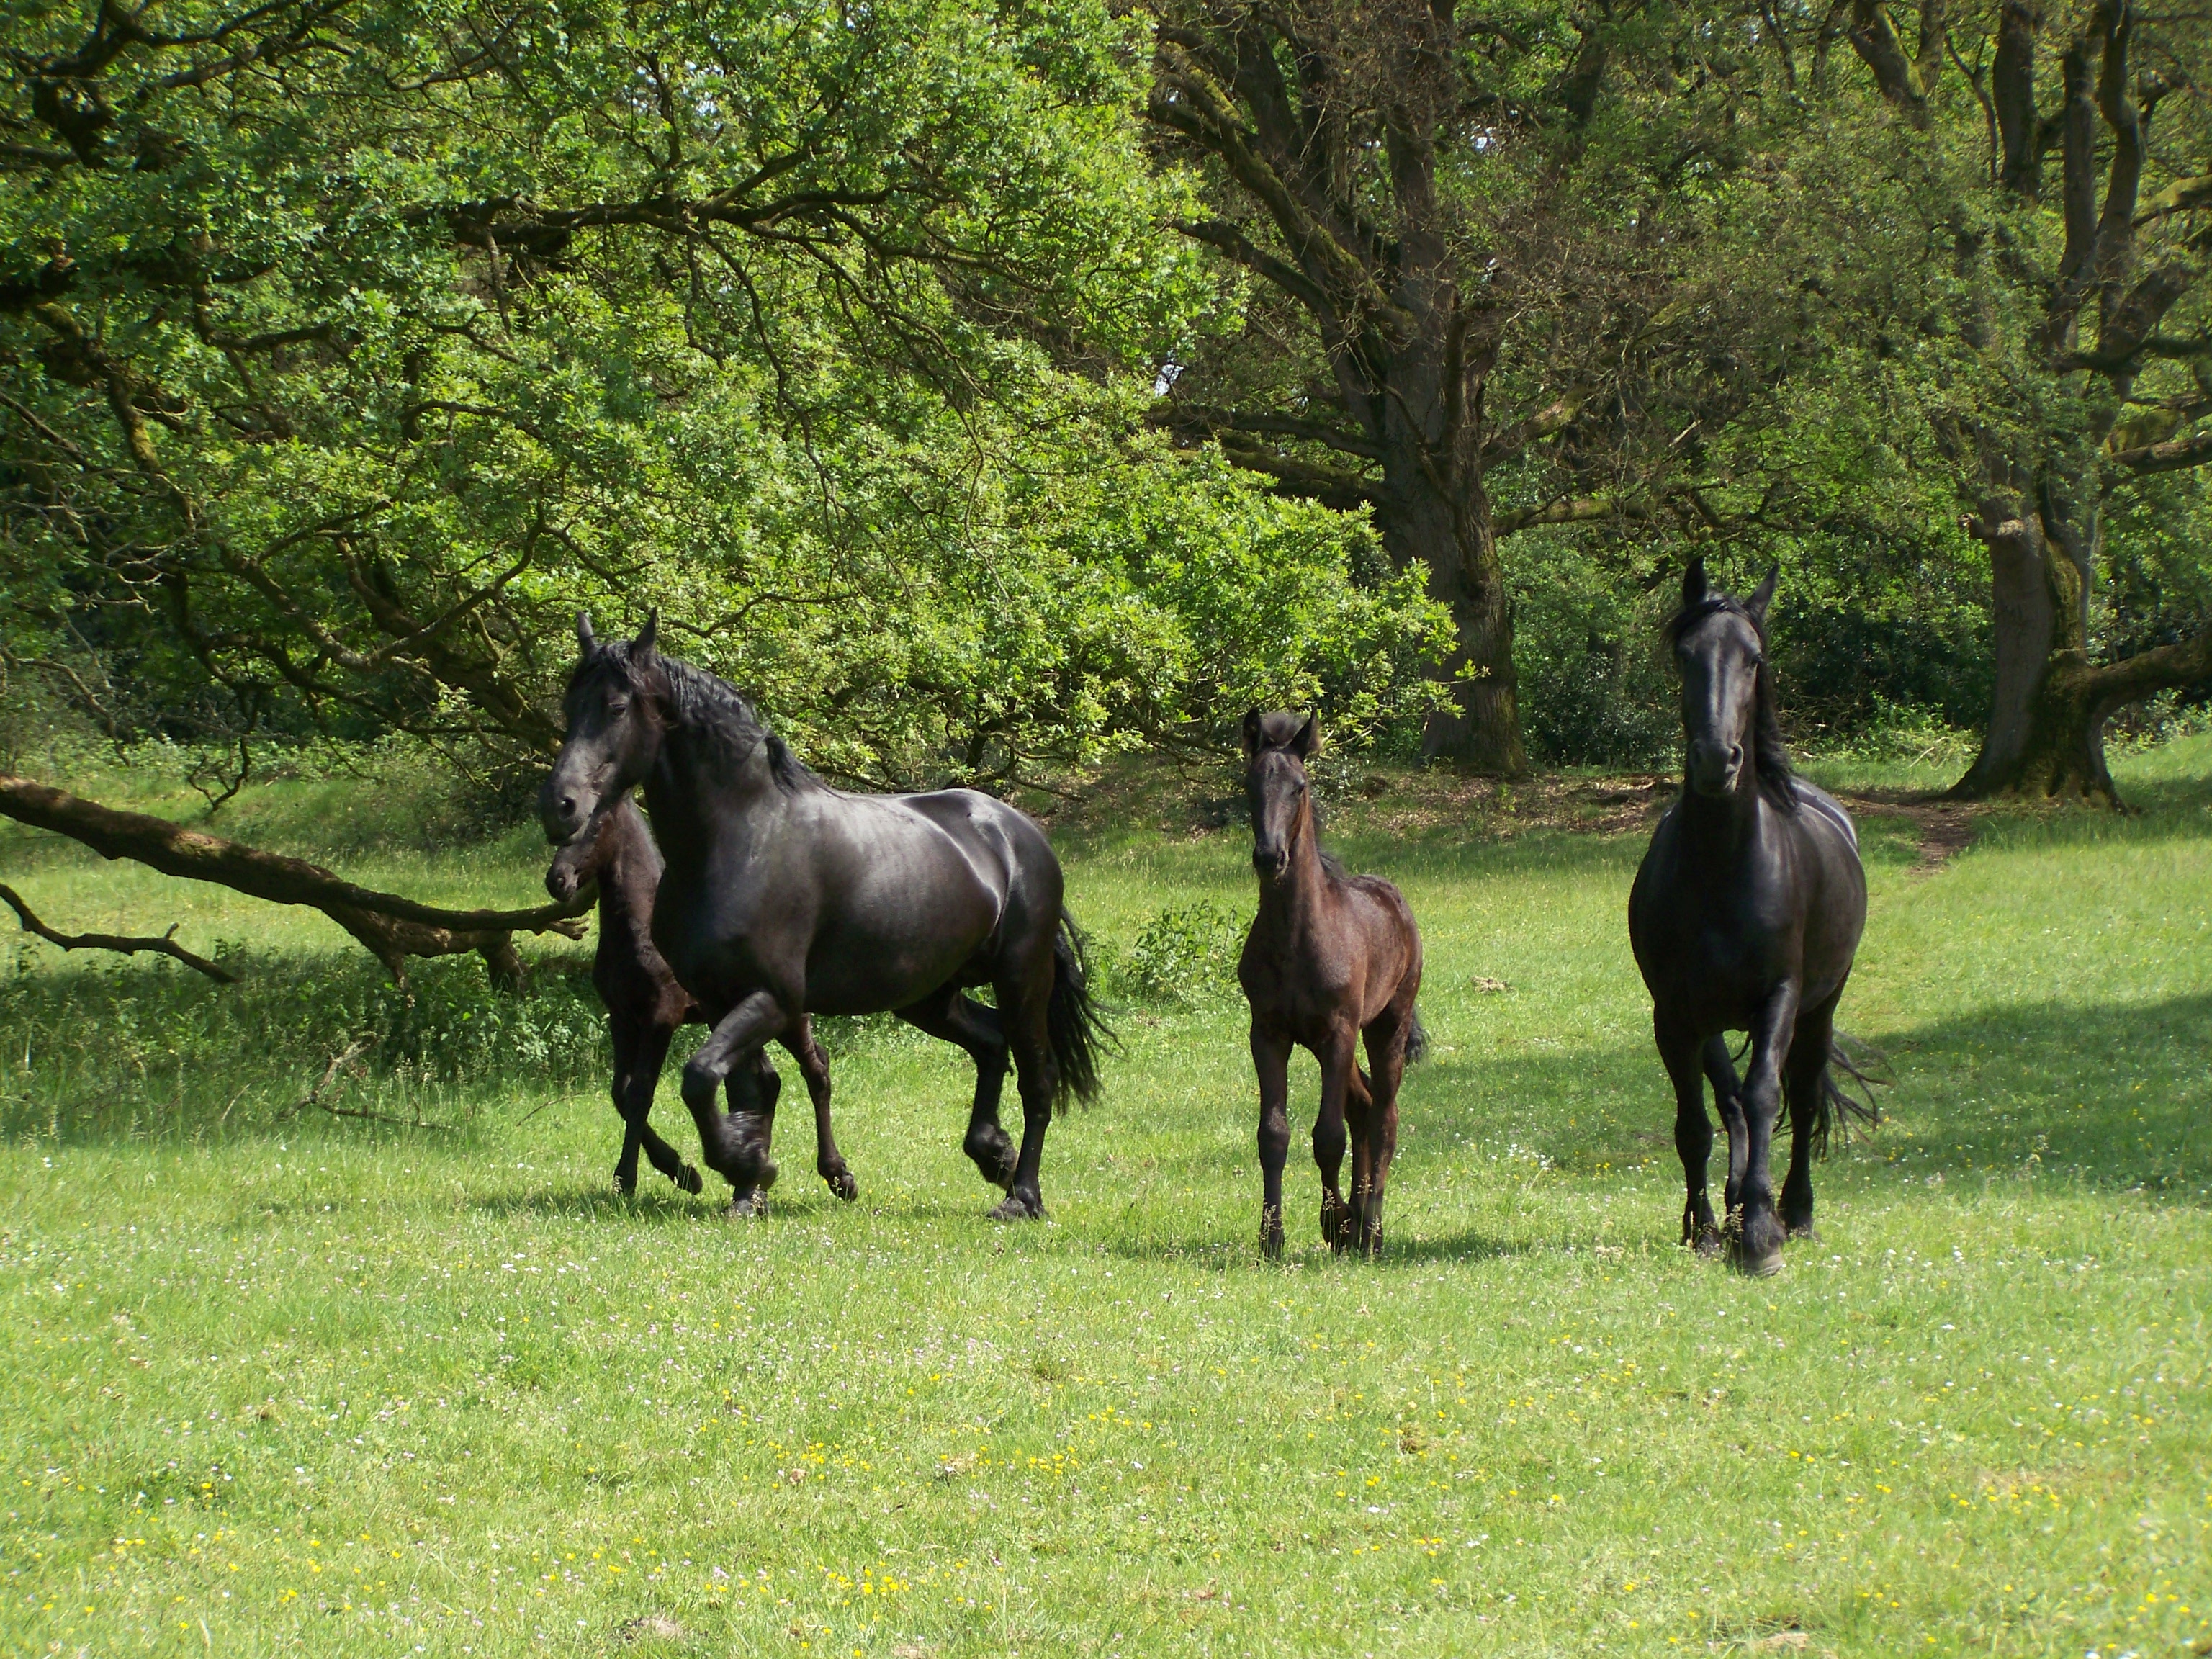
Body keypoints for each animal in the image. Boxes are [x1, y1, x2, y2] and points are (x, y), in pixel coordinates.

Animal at [545, 795, 855, 1208]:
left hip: (787, 1017)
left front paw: (639, 1177)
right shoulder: (622, 1018)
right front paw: (678, 1170)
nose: (557, 880)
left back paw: (837, 1177)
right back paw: (753, 1180)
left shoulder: (660, 1017)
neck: (636, 928)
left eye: (595, 824)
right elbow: (621, 1093)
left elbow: (640, 1093)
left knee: (816, 1070)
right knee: (769, 1082)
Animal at [1238, 711, 1425, 1259]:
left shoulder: (1339, 1031)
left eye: (1299, 787)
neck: (1297, 936)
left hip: (1385, 1026)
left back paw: (1372, 1231)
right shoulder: (1269, 1034)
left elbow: (1327, 1137)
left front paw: (1338, 1223)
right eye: (1249, 784)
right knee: (1363, 1106)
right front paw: (1273, 1238)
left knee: (1384, 1116)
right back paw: (1359, 1221)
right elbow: (1273, 1135)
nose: (1270, 856)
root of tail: (1394, 898)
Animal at [1627, 559, 1873, 1277]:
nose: (1717, 759)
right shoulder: (1676, 1013)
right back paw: (1737, 1209)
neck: (1722, 871)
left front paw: (1762, 1236)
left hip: (1820, 1007)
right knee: (1730, 1103)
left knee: (1802, 1093)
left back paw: (1794, 1213)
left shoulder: (1780, 999)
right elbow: (1696, 1121)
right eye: (1685, 656)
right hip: (1710, 1021)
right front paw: (1709, 1229)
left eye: (1754, 658)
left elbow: (1768, 1095)